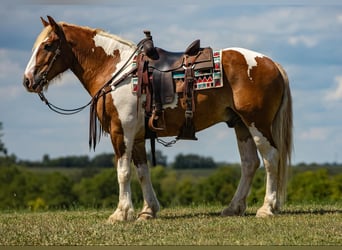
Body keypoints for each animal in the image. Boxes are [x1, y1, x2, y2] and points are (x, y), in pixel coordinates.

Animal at [22, 16, 292, 222]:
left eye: (48, 46)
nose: (27, 80)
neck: (116, 70)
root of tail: (272, 63)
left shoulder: (122, 132)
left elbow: (123, 171)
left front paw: (121, 213)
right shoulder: (138, 136)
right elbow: (142, 171)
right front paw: (148, 211)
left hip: (257, 124)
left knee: (270, 159)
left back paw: (267, 208)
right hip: (241, 125)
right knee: (249, 163)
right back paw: (233, 207)